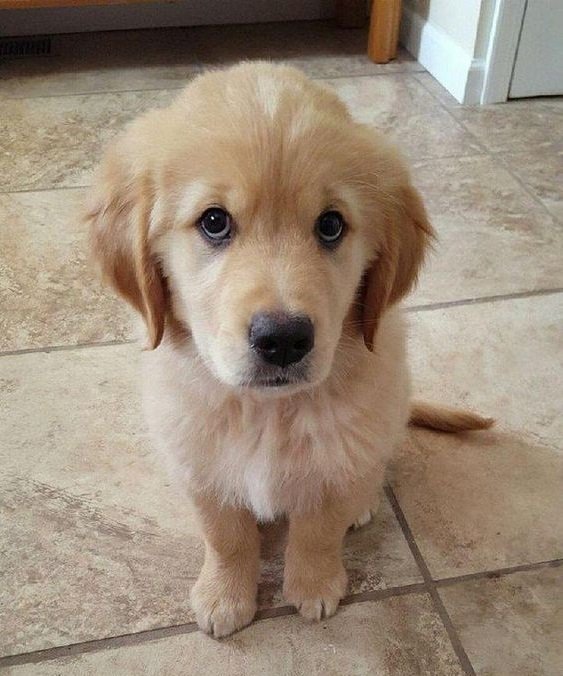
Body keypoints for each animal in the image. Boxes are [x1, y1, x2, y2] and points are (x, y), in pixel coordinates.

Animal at [85, 60, 494, 636]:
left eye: (331, 225)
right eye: (214, 221)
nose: (283, 340)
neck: (267, 412)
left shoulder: (339, 458)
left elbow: (319, 528)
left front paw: (313, 586)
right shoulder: (198, 460)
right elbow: (225, 536)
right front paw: (224, 595)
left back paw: (365, 503)